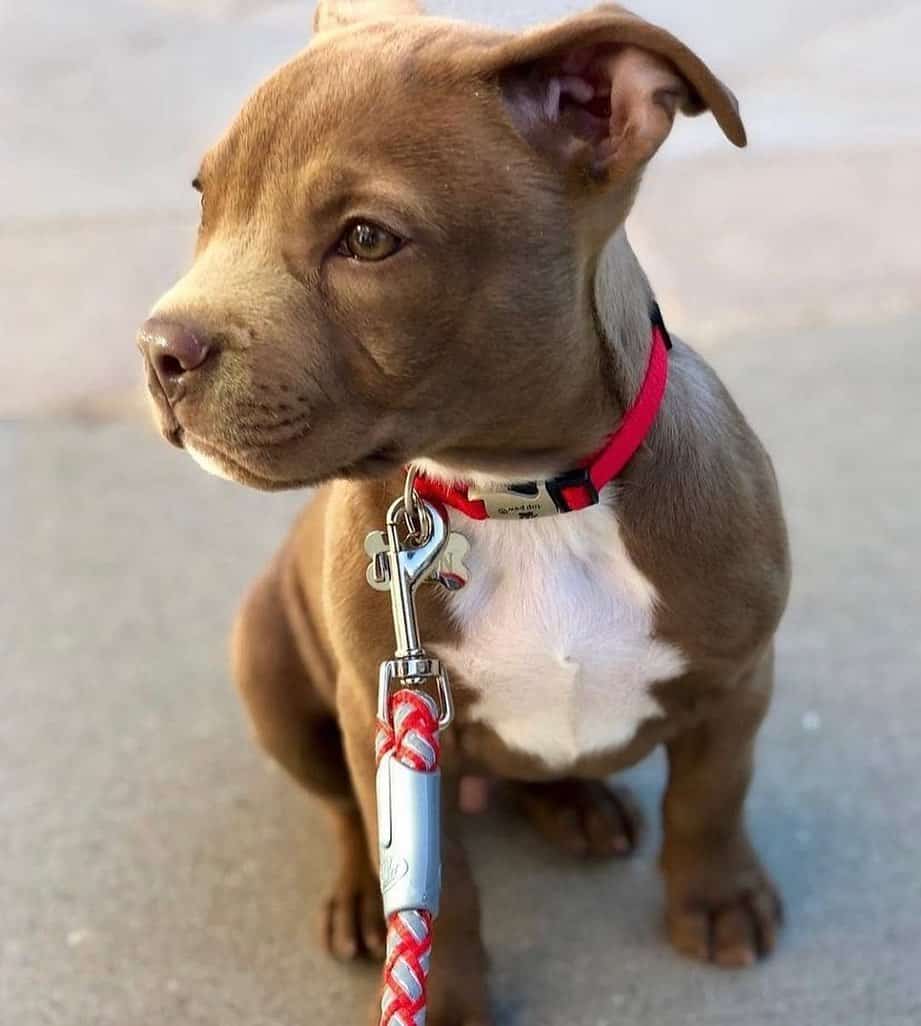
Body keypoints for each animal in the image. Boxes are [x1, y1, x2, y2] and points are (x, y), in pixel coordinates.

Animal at [136, 4, 787, 1021]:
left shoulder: (737, 677)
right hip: (270, 664)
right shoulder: (389, 727)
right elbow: (436, 882)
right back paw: (364, 901)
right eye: (206, 200)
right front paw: (438, 997)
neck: (527, 499)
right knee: (342, 809)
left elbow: (713, 795)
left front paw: (717, 898)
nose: (159, 348)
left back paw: (576, 806)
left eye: (367, 240)